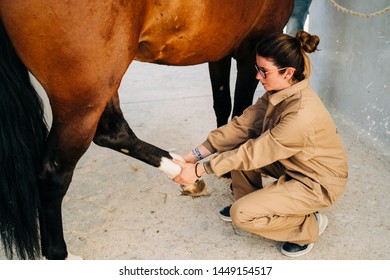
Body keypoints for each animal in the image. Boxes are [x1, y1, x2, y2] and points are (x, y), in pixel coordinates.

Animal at [0, 0, 292, 260]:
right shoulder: (253, 47)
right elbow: (241, 110)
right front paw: (234, 174)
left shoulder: (219, 50)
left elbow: (223, 105)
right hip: (85, 98)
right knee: (54, 173)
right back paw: (59, 254)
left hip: (103, 81)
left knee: (114, 133)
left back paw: (183, 172)